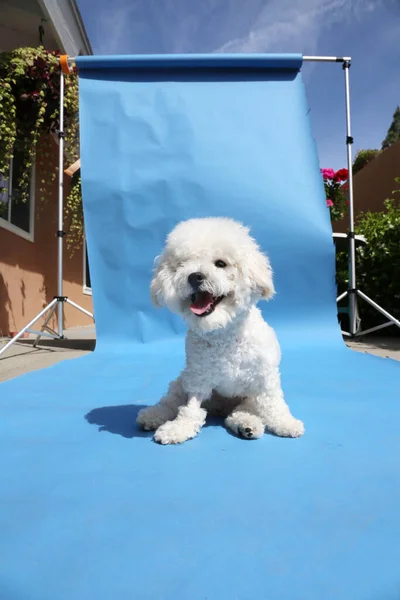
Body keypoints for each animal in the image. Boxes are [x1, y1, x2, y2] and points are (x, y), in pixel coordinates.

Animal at [136, 218, 304, 442]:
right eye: (182, 265)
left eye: (220, 264)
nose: (194, 276)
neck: (224, 333)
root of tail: (220, 407)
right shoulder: (198, 378)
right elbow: (190, 409)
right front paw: (178, 429)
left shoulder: (265, 377)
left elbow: (274, 403)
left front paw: (286, 423)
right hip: (182, 381)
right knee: (170, 401)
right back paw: (152, 415)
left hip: (249, 397)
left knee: (241, 411)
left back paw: (247, 425)